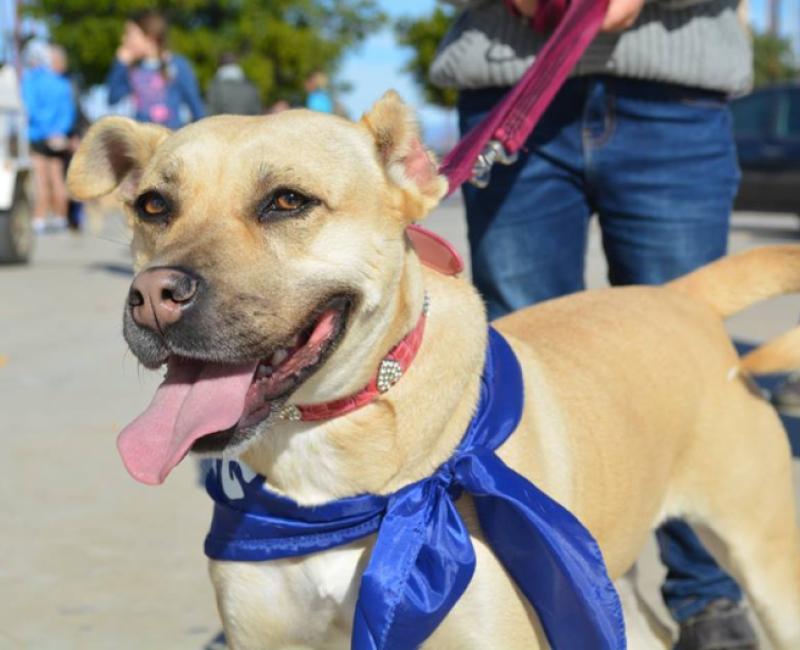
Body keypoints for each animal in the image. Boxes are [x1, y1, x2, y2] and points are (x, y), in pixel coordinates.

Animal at [67, 91, 800, 649]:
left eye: (287, 201)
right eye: (153, 206)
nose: (155, 295)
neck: (332, 458)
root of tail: (683, 296)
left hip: (765, 562)